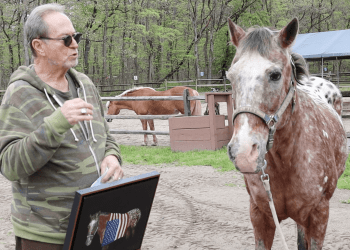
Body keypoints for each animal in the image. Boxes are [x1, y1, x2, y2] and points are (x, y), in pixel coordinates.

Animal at [227, 18, 348, 250]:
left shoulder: (318, 216)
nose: (244, 153)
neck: (287, 161)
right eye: (230, 76)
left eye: (275, 75)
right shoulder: (260, 215)